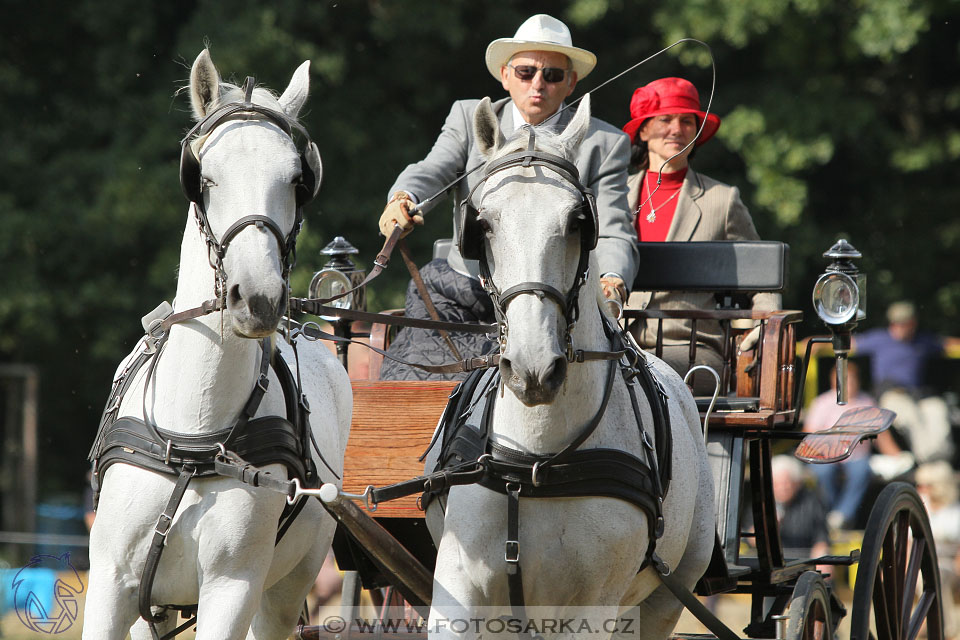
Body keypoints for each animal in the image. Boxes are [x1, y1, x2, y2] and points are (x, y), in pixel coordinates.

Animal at [83, 50, 352, 640]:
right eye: (203, 178)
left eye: (297, 181)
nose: (258, 297)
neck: (195, 433)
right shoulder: (112, 583)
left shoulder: (234, 589)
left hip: (285, 586)